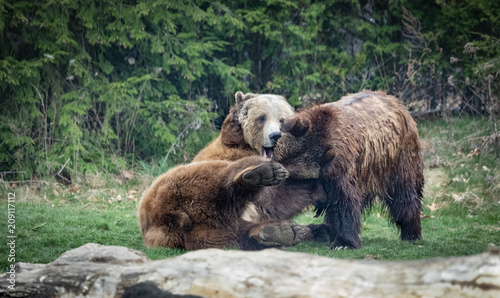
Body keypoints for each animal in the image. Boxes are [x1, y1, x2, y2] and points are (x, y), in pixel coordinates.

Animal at [276, 90, 424, 249]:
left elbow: (345, 201)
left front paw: (344, 242)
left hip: (398, 158)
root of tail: (397, 102)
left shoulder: (342, 167)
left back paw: (411, 232)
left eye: (296, 178)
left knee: (405, 194)